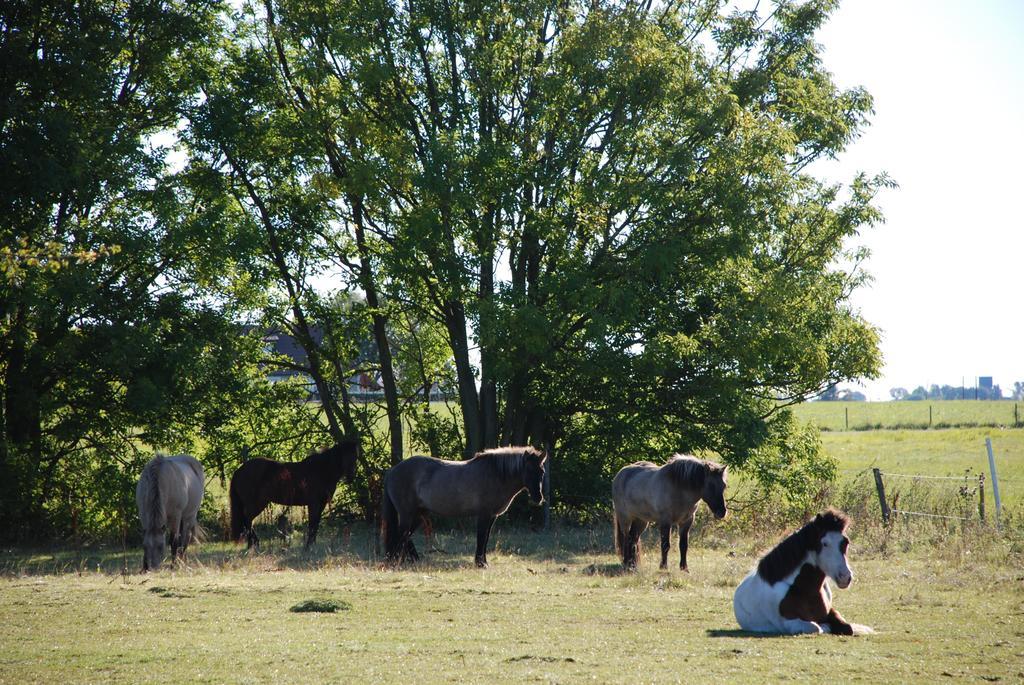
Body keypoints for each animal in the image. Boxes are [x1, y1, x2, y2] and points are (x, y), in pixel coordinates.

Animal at [382, 444, 548, 565]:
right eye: (528, 470)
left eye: (542, 472)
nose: (538, 498)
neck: (496, 475)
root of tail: (392, 471)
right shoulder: (484, 515)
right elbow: (482, 537)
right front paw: (480, 563)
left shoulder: (491, 516)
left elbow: (486, 538)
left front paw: (483, 562)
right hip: (407, 513)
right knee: (402, 534)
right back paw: (397, 560)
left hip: (418, 513)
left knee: (406, 536)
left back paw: (413, 560)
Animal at [733, 507, 876, 634]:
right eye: (824, 543)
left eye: (846, 542)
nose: (845, 577)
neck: (804, 589)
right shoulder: (790, 623)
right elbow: (816, 627)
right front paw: (825, 627)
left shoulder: (831, 612)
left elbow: (847, 628)